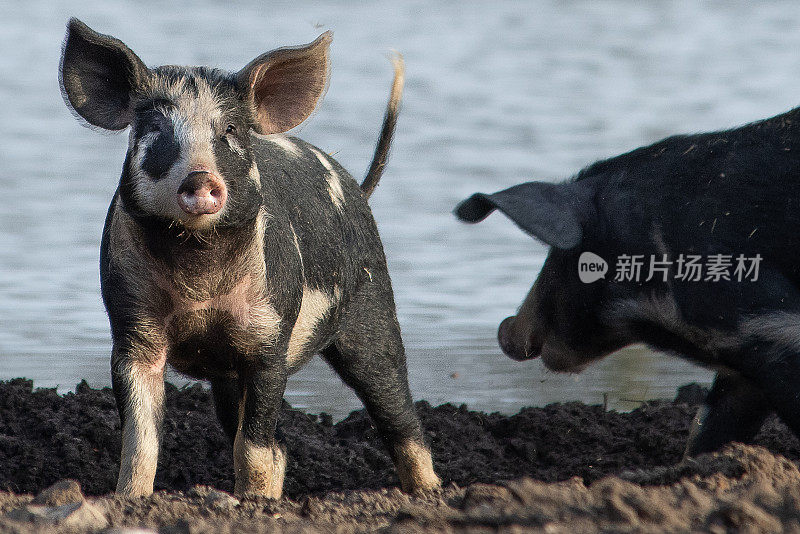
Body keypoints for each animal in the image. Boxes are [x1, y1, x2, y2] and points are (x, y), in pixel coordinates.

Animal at [59, 18, 440, 500]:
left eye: (230, 131)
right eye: (156, 129)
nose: (200, 178)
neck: (198, 272)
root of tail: (359, 189)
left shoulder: (268, 336)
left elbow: (253, 442)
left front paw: (253, 502)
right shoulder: (132, 330)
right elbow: (141, 440)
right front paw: (130, 499)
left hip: (373, 308)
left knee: (398, 413)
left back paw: (429, 492)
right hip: (229, 377)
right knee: (278, 445)